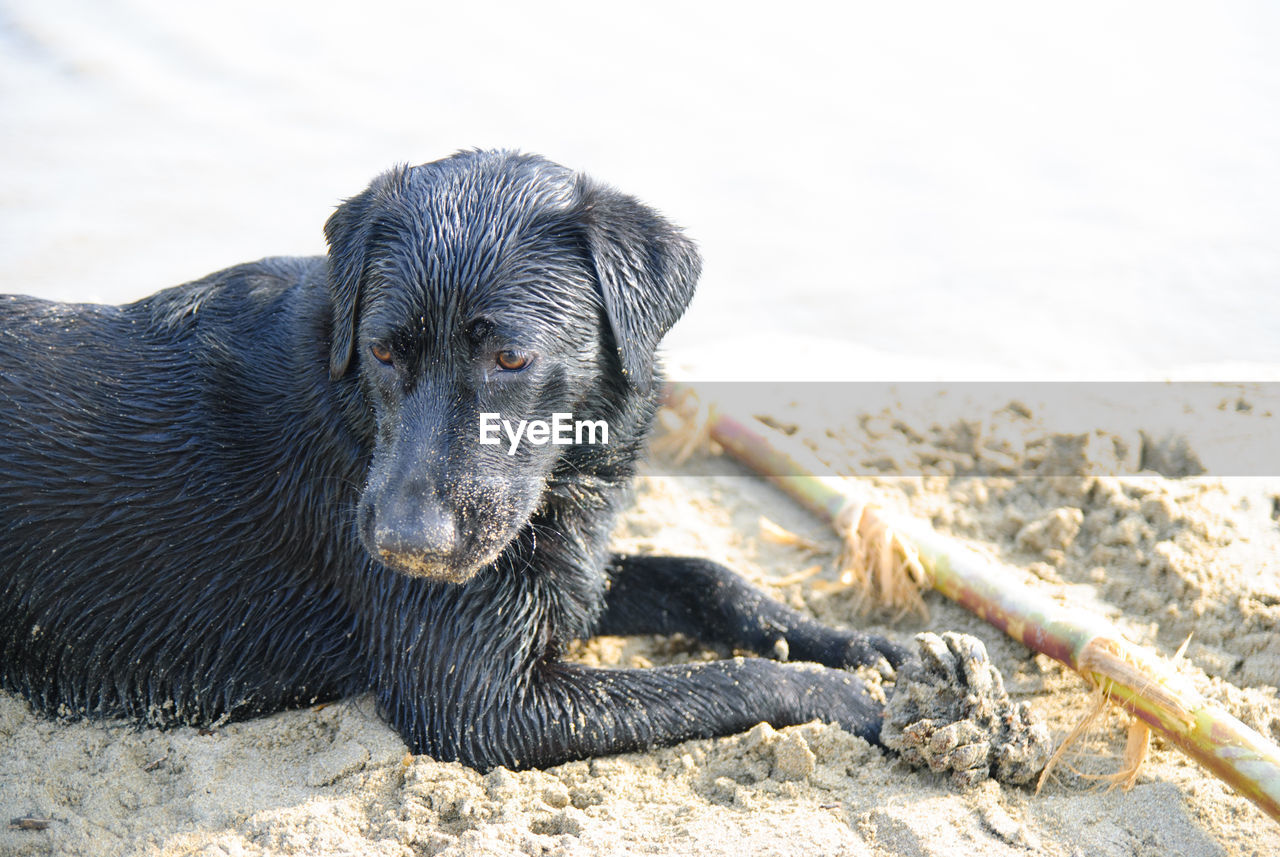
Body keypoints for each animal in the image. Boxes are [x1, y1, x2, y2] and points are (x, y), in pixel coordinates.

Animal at [0, 149, 901, 772]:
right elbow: (736, 681)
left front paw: (870, 647)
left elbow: (709, 578)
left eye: (510, 357)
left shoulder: (562, 575)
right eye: (382, 351)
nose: (407, 546)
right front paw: (854, 698)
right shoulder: (488, 706)